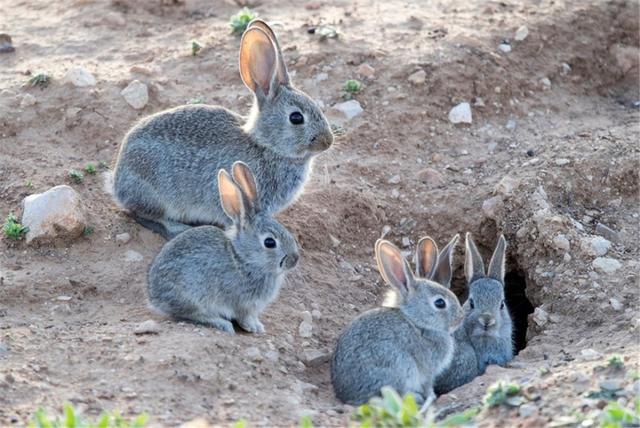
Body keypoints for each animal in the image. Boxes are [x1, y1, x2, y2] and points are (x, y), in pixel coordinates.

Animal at [112, 20, 336, 239]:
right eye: (296, 117)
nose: (328, 141)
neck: (265, 146)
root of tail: (116, 182)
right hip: (156, 194)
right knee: (142, 214)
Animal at [148, 161, 300, 334]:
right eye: (269, 242)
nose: (295, 259)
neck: (243, 259)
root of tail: (154, 295)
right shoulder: (242, 303)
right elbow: (244, 317)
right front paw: (254, 327)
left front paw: (259, 325)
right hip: (193, 297)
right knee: (192, 314)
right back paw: (222, 323)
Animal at [330, 237, 464, 408]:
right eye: (440, 303)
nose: (461, 317)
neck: (417, 322)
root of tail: (348, 396)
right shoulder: (428, 371)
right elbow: (428, 384)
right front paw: (431, 396)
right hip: (399, 367)